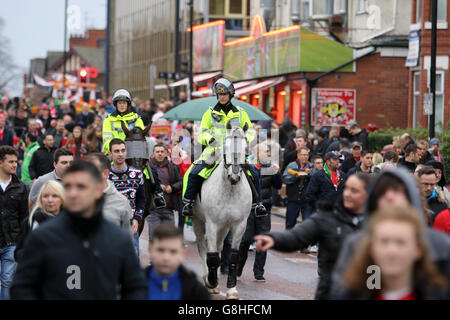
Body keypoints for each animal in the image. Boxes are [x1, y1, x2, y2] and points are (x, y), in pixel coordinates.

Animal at [191, 121, 253, 298]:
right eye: (226, 146)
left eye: (245, 147)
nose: (234, 177)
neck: (230, 191)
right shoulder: (212, 223)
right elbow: (211, 256)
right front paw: (211, 282)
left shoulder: (239, 225)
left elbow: (233, 257)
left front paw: (231, 290)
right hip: (198, 220)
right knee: (202, 246)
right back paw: (208, 278)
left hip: (224, 227)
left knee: (218, 248)